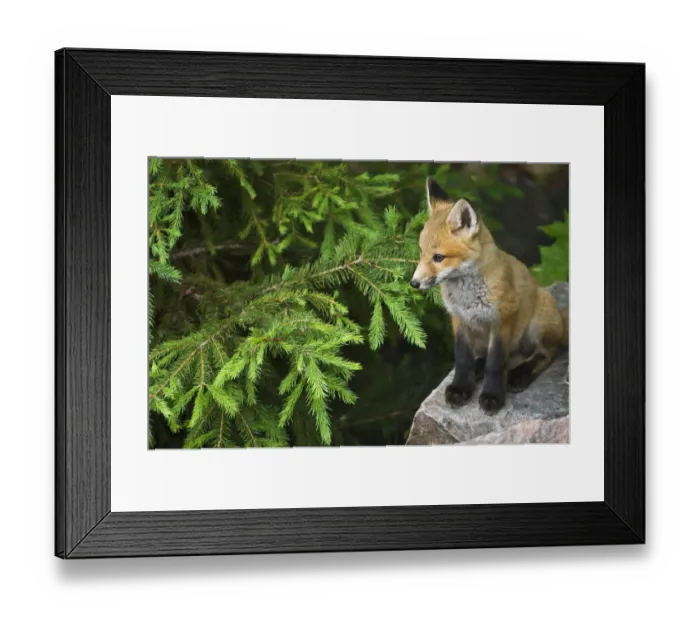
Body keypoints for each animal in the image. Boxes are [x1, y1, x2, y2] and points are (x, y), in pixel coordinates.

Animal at [410, 177, 568, 413]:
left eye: (438, 257)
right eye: (421, 253)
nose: (413, 283)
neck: (467, 298)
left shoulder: (502, 320)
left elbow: (495, 364)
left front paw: (492, 396)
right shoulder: (459, 320)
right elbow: (462, 359)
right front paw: (460, 388)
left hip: (537, 323)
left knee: (546, 352)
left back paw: (520, 375)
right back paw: (480, 369)